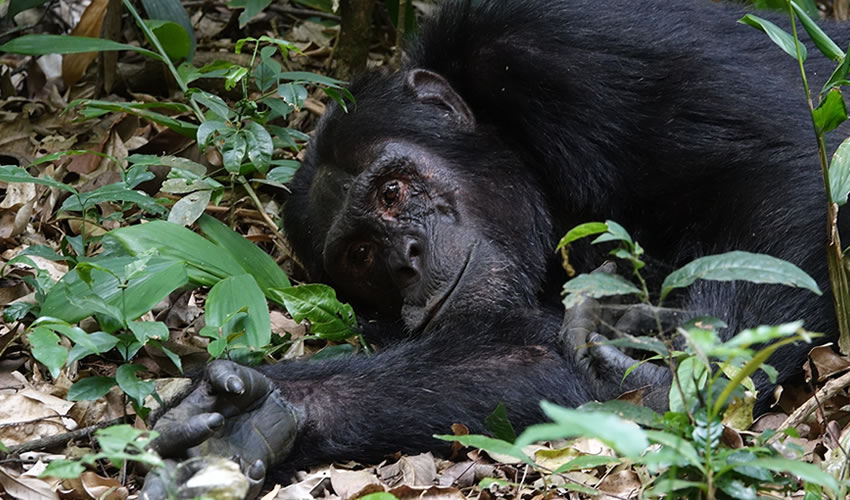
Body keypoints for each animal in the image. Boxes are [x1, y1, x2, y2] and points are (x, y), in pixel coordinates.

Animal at [141, 0, 840, 496]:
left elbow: (794, 156)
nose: (406, 255)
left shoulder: (568, 39)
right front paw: (255, 420)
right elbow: (536, 358)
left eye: (393, 192)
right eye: (361, 257)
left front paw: (702, 365)